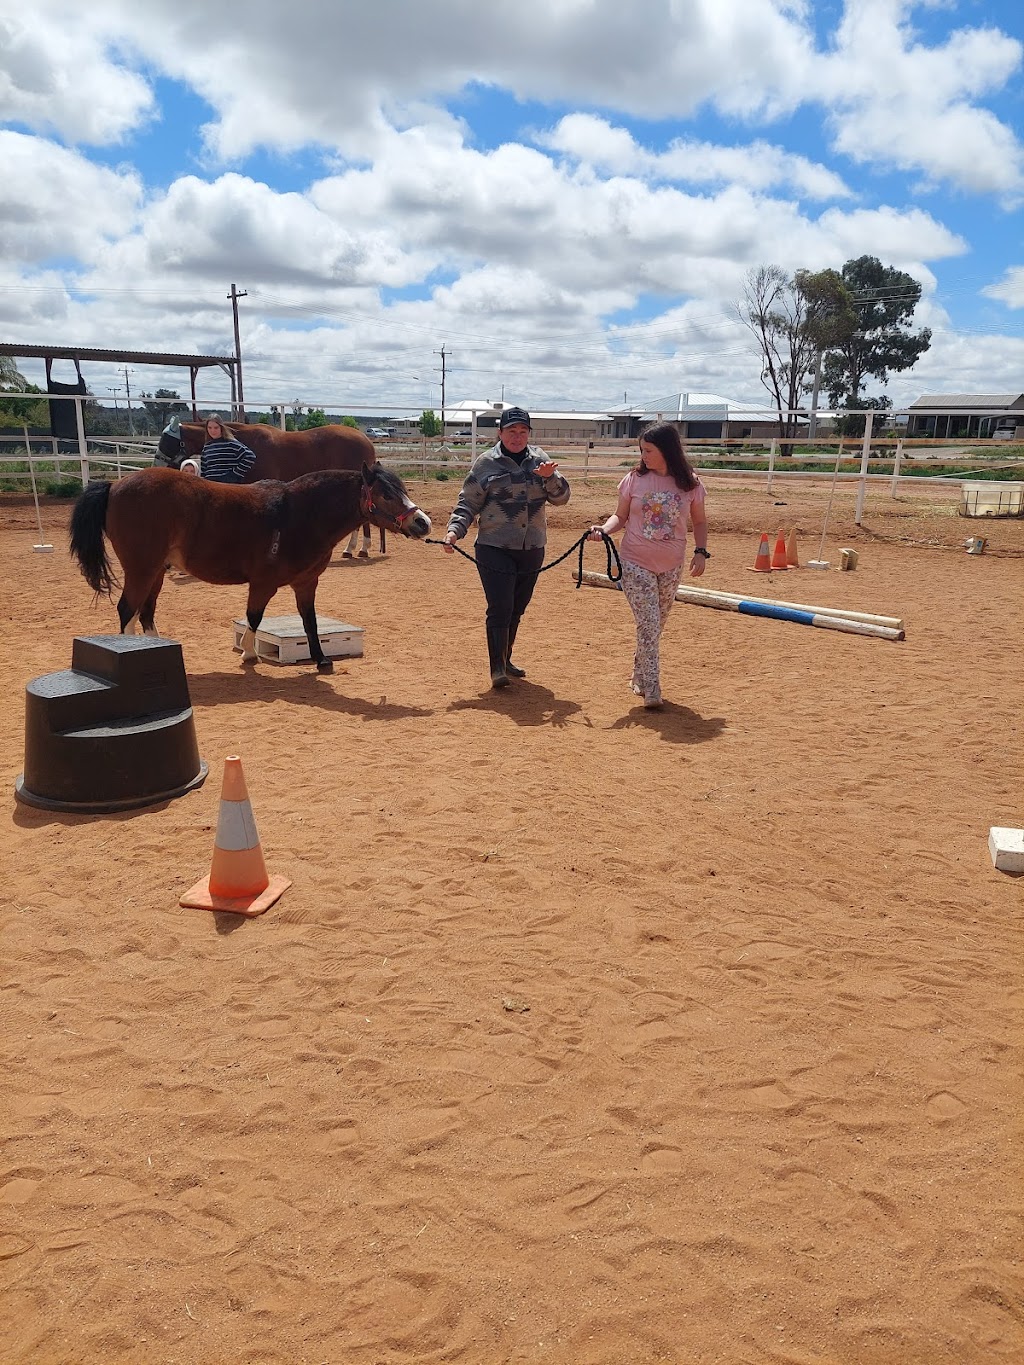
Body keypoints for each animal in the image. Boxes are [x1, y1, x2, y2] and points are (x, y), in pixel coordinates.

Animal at [71, 464, 434, 671]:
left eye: (402, 490)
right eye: (386, 494)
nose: (423, 523)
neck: (299, 514)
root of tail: (115, 486)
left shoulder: (306, 583)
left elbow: (310, 622)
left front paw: (321, 660)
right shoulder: (263, 584)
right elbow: (254, 618)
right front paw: (248, 655)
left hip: (156, 571)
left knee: (144, 612)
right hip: (142, 569)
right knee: (127, 609)